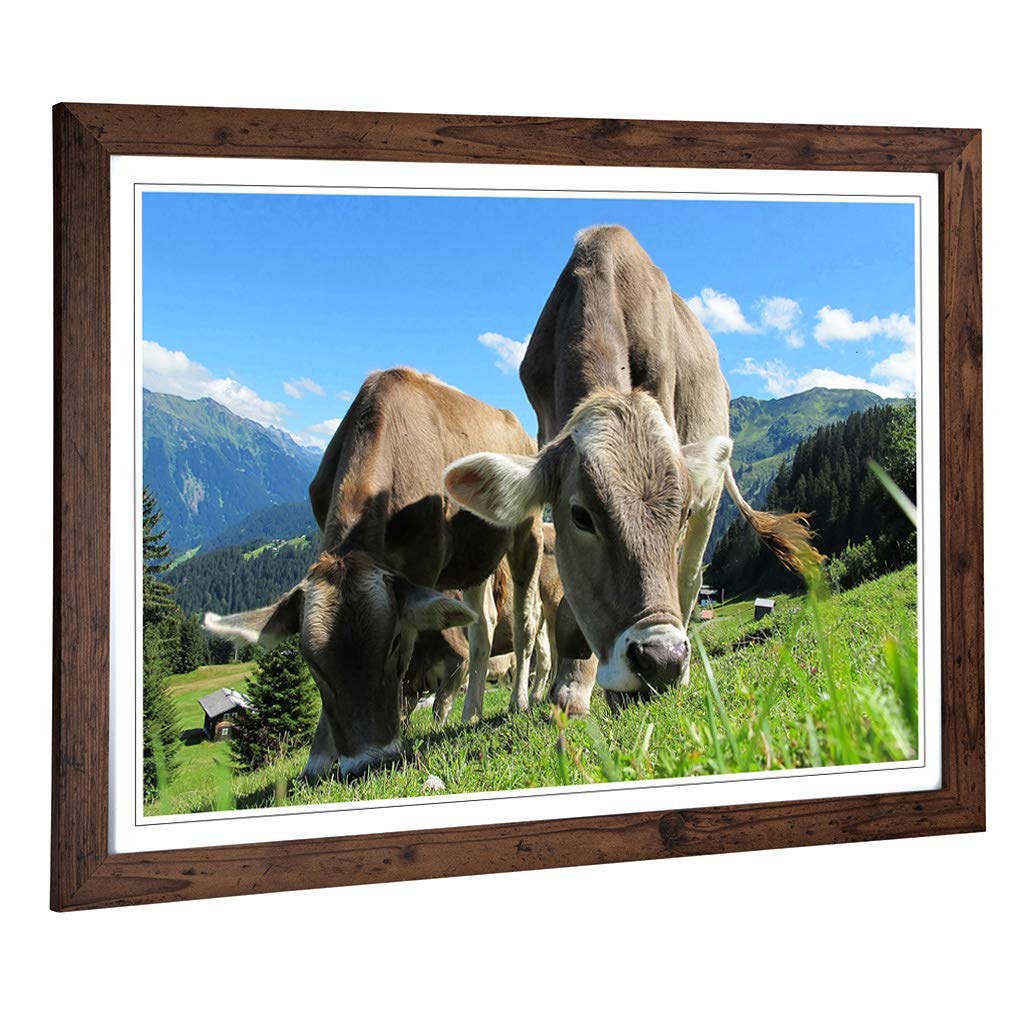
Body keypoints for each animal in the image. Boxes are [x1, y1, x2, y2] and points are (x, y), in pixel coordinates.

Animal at [204, 368, 544, 779]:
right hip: (475, 557)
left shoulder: (423, 566)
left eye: (393, 642)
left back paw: (519, 701)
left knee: (526, 619)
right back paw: (471, 713)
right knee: (484, 626)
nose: (370, 761)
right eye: (310, 661)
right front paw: (319, 758)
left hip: (528, 530)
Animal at [444, 226, 820, 715]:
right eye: (581, 516)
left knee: (691, 575)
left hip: (712, 492)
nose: (662, 660)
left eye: (679, 513)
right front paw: (572, 686)